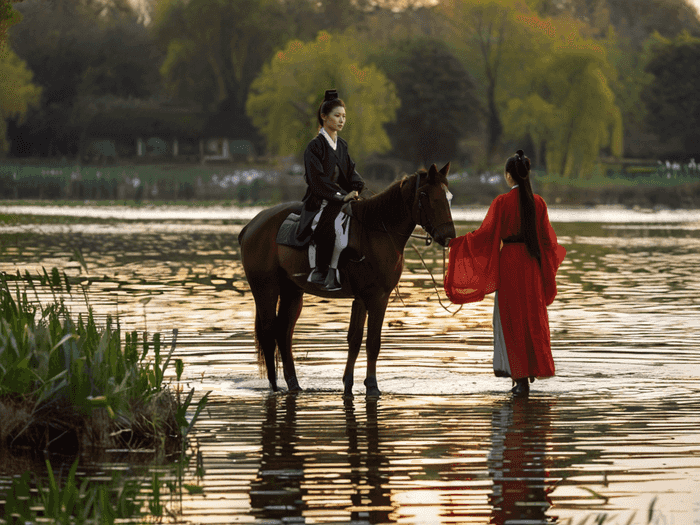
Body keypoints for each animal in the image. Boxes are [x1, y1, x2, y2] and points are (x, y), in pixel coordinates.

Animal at [238, 162, 456, 396]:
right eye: (425, 194)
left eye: (449, 196)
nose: (448, 236)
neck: (377, 231)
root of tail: (252, 225)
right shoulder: (376, 298)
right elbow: (372, 342)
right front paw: (372, 385)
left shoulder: (364, 298)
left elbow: (355, 339)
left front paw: (349, 383)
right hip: (265, 289)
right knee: (269, 333)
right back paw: (274, 386)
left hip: (292, 292)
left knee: (284, 333)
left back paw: (293, 384)